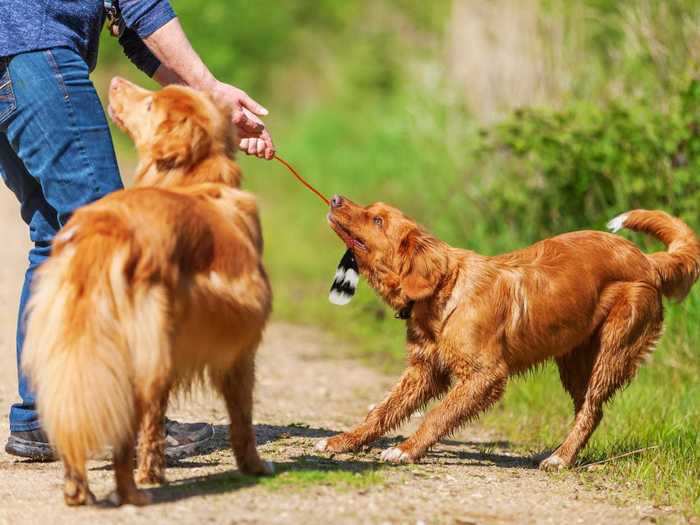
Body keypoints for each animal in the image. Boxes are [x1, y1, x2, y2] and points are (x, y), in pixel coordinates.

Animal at [21, 77, 274, 504]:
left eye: (152, 103)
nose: (115, 80)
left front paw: (153, 470)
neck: (198, 182)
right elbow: (242, 417)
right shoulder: (239, 347)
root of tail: (108, 229)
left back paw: (79, 489)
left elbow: (154, 421)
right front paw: (253, 466)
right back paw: (132, 495)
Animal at [318, 194, 700, 468]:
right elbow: (381, 412)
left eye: (377, 220)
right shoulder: (424, 371)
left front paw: (407, 450)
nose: (335, 198)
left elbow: (438, 414)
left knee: (592, 408)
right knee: (589, 411)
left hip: (611, 350)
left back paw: (560, 459)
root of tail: (647, 260)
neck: (445, 292)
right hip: (574, 360)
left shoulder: (485, 376)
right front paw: (343, 441)